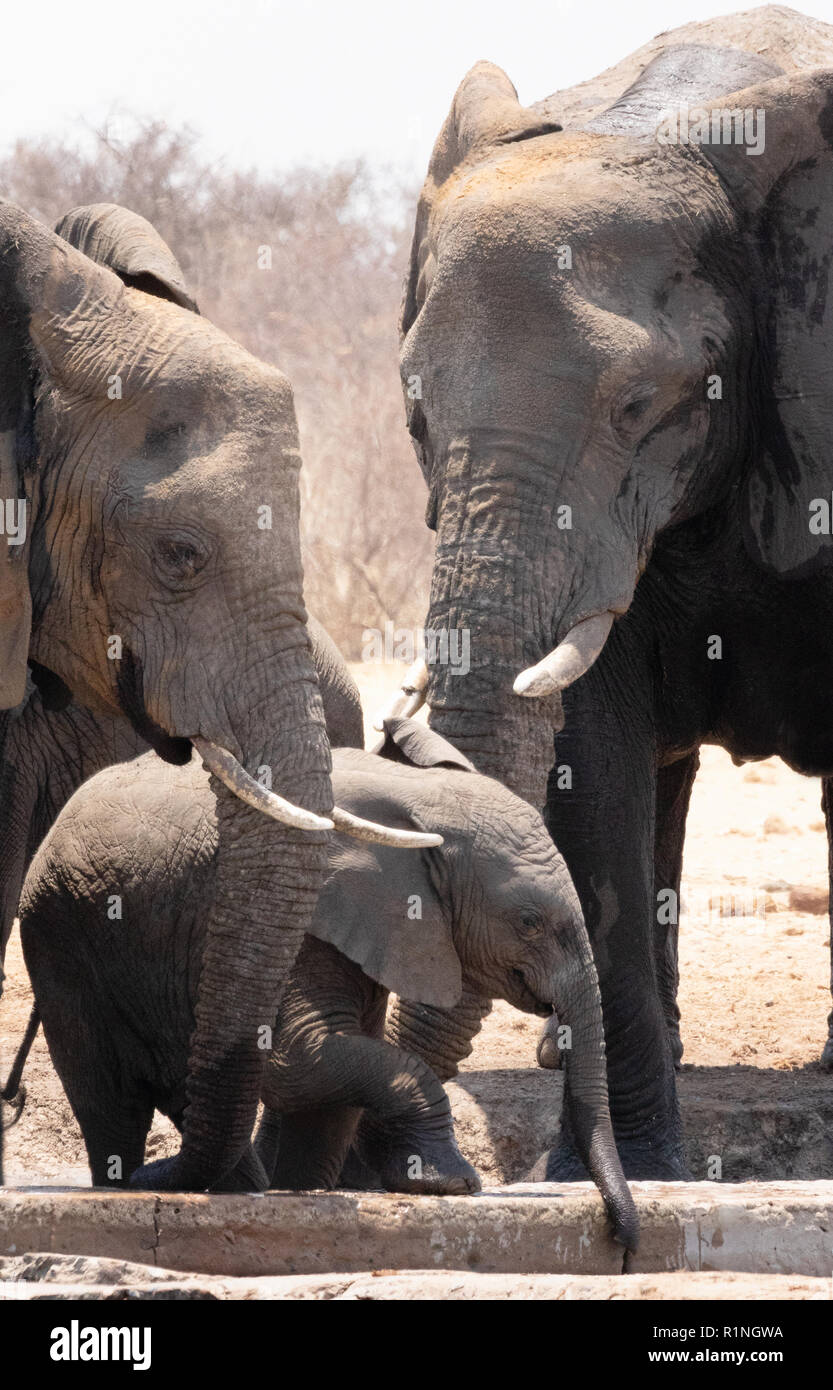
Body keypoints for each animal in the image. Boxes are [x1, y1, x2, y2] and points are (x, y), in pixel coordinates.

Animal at [14, 717, 639, 1251]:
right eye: (530, 923)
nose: (623, 1241)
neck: (421, 804)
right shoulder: (309, 917)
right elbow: (297, 1061)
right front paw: (452, 1184)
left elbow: (333, 1079)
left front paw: (306, 1190)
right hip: (59, 933)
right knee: (109, 1098)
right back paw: (136, 1179)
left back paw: (227, 1184)